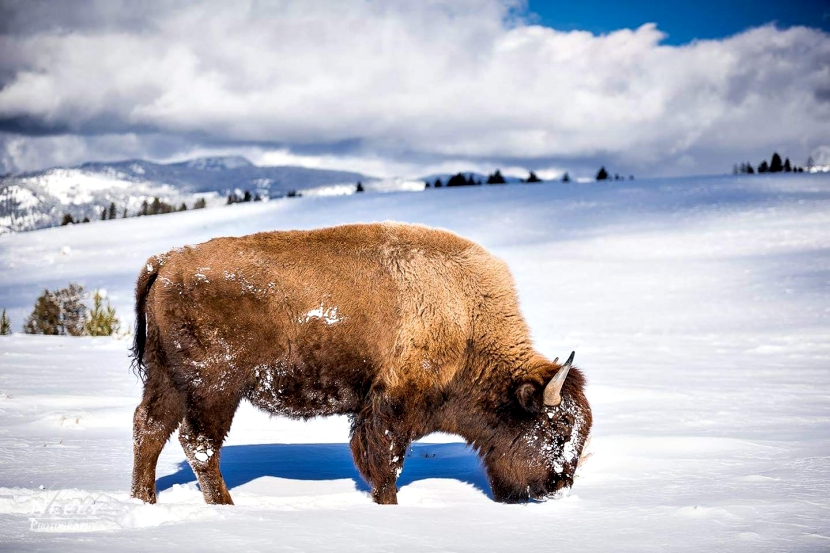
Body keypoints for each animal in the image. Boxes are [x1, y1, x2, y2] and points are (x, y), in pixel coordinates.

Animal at [132, 222, 592, 502]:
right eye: (559, 428)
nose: (559, 485)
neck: (466, 318)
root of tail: (167, 261)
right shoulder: (391, 405)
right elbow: (385, 463)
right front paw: (387, 504)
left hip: (167, 379)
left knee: (149, 429)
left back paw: (144, 500)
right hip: (215, 388)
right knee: (198, 443)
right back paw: (225, 506)